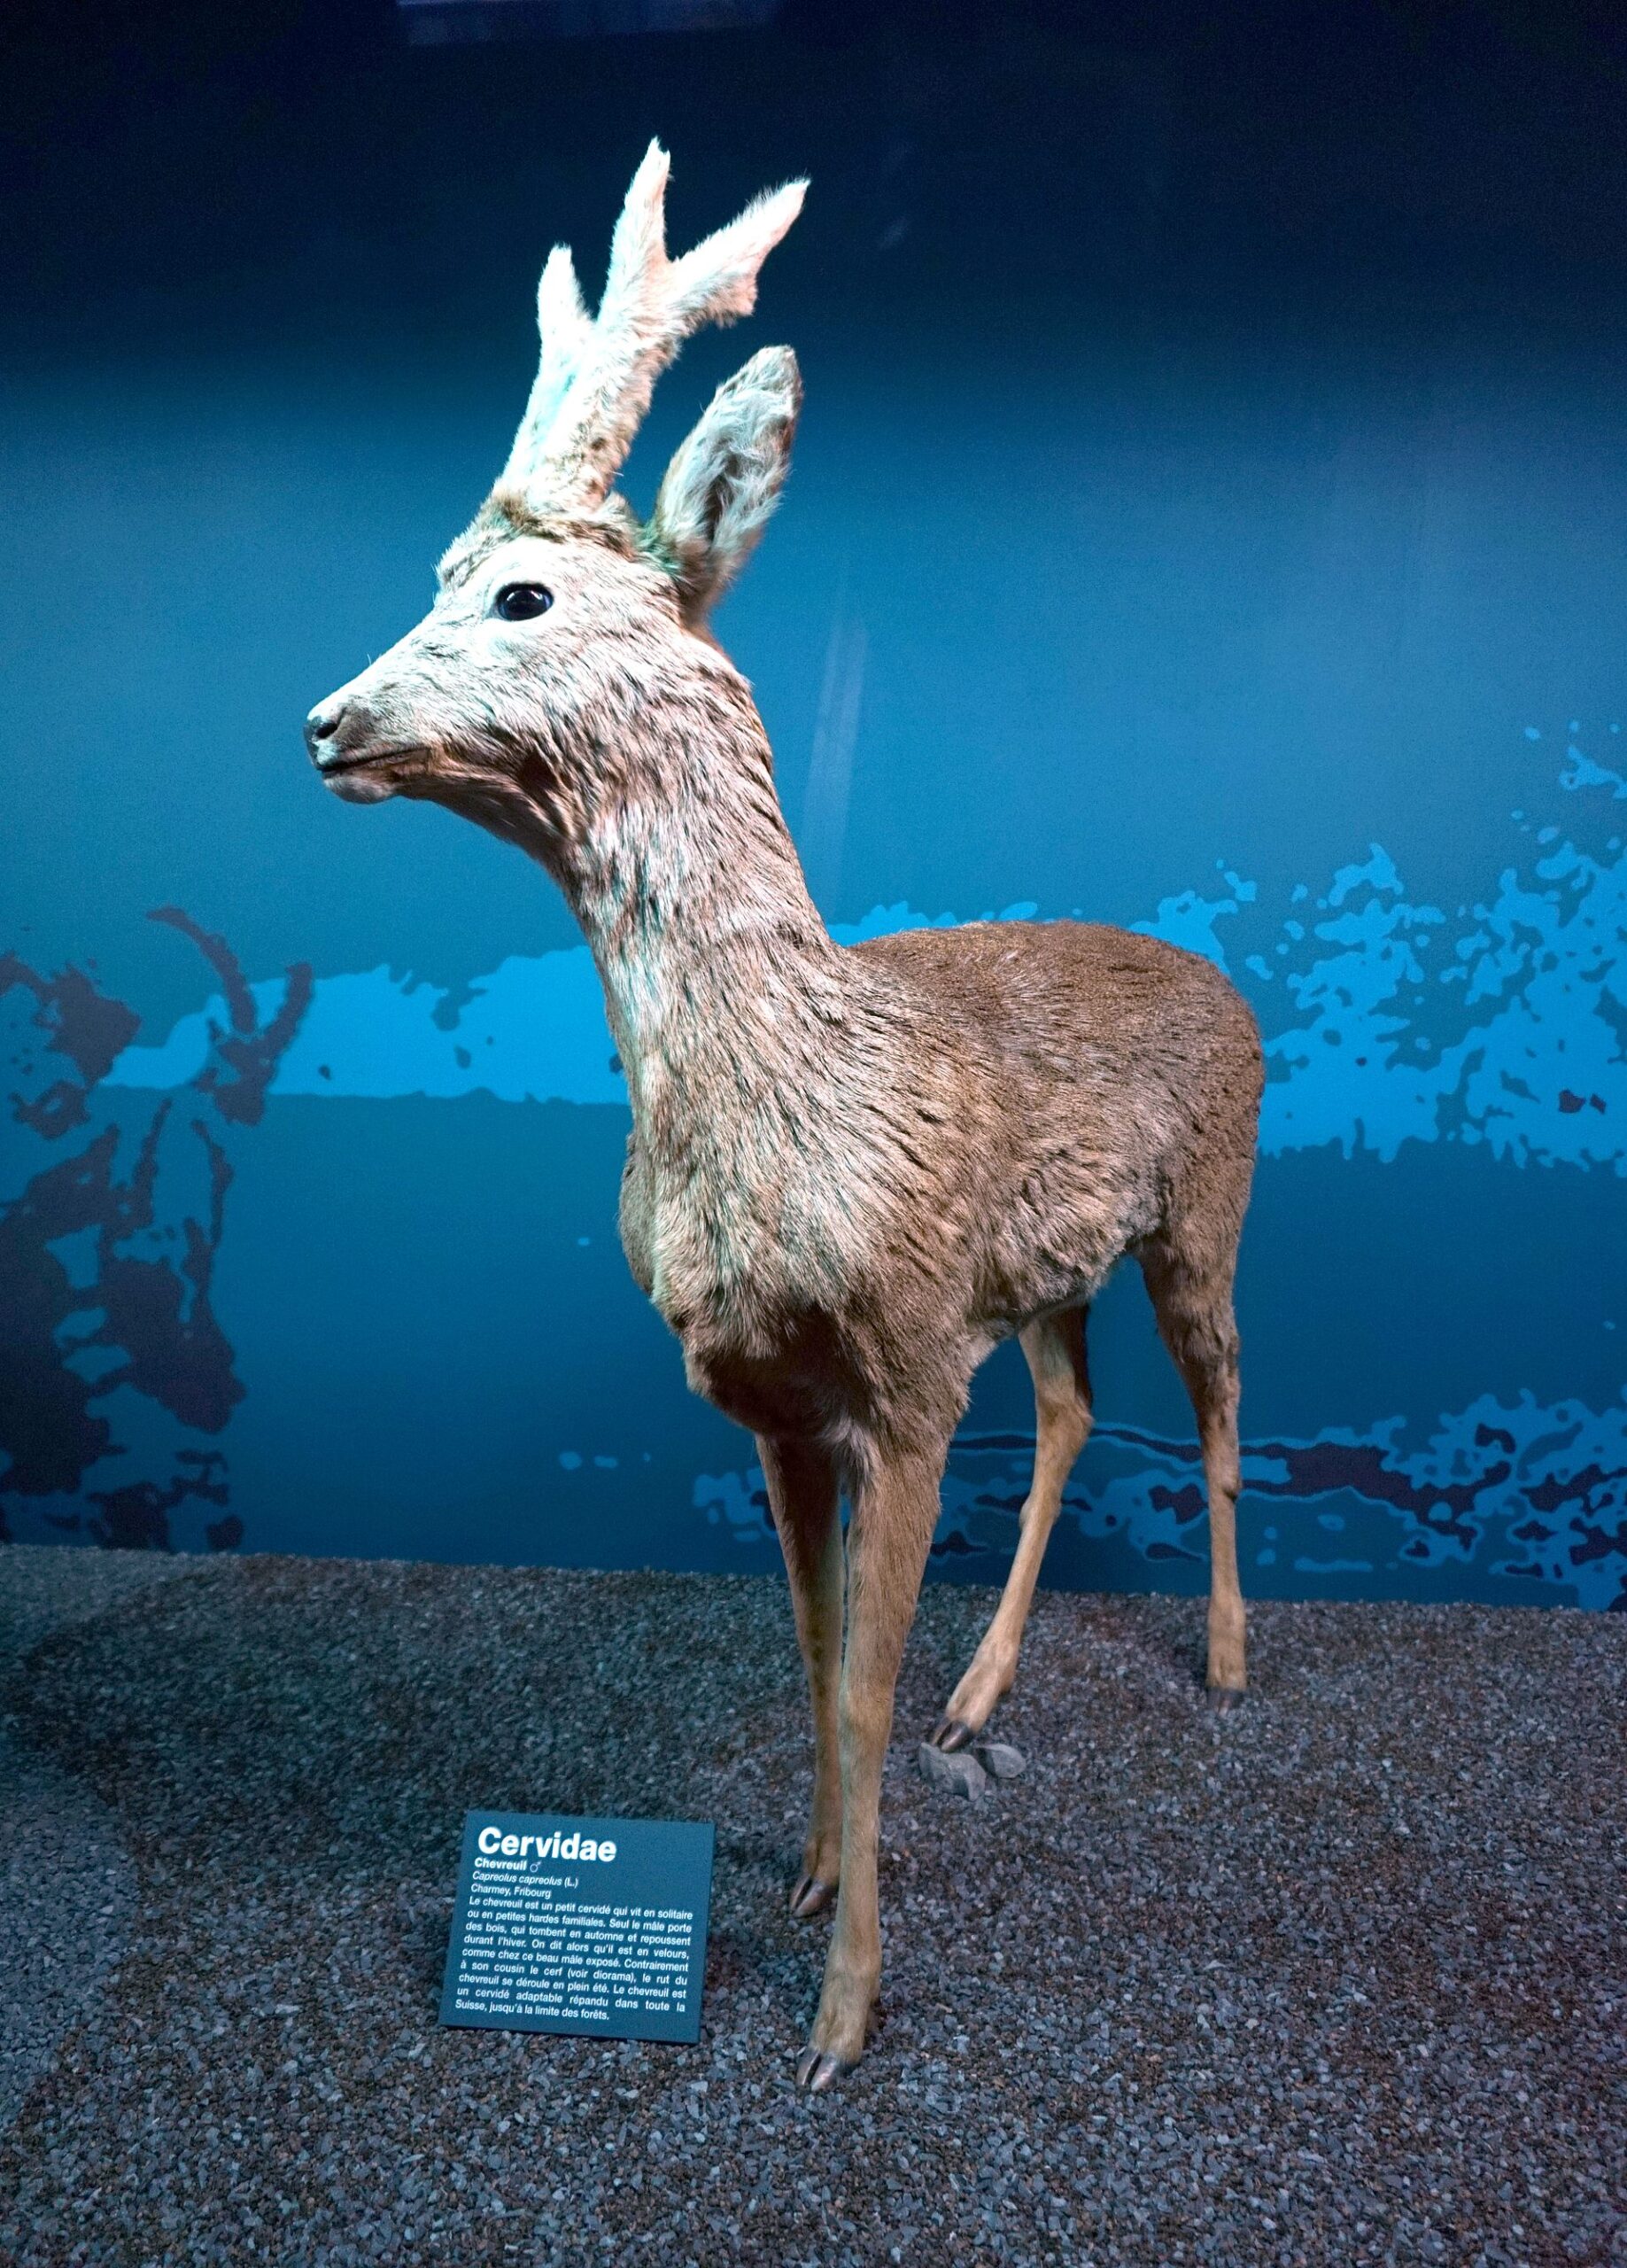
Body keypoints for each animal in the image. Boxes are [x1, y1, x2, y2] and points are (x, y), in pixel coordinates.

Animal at [304, 145, 1263, 2090]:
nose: (326, 718)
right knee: (1073, 1407)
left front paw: (839, 2013)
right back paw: (991, 1691)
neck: (781, 1103)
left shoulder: (902, 1367)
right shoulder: (768, 1393)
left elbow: (861, 1680)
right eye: (439, 570)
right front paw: (816, 1875)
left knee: (1220, 1399)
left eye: (521, 597)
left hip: (1206, 1206)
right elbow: (816, 1649)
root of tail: (1233, 992)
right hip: (1044, 1275)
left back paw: (1221, 1657)